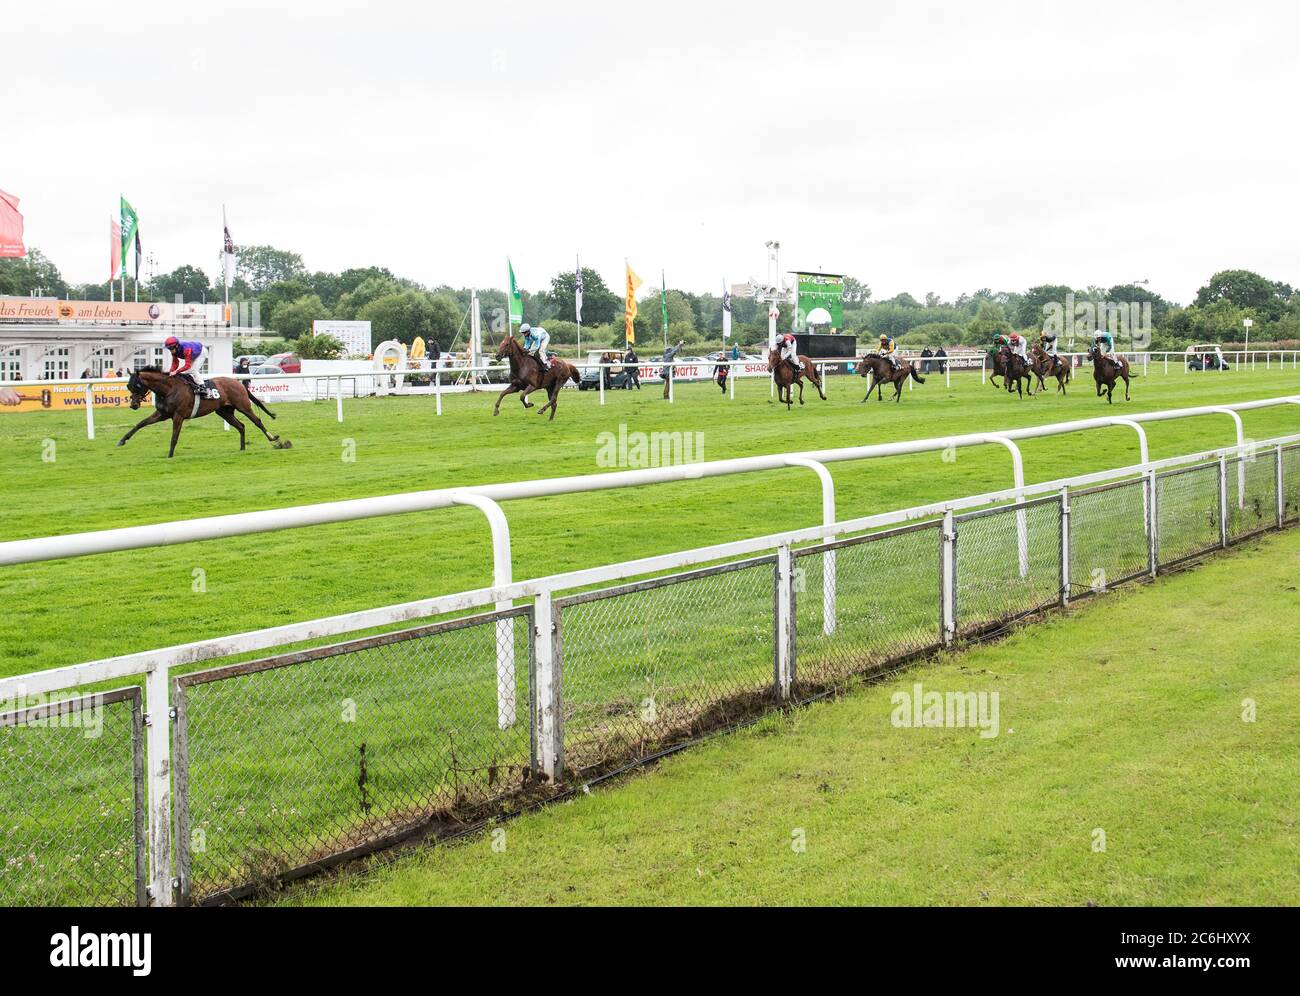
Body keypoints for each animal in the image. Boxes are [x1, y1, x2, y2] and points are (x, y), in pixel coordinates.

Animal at [118, 369, 283, 457]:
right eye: (128, 385)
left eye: (137, 385)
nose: (133, 405)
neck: (169, 389)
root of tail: (239, 383)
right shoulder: (162, 414)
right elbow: (140, 424)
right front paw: (122, 440)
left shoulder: (178, 416)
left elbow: (174, 437)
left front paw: (170, 455)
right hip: (224, 412)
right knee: (241, 426)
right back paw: (242, 448)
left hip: (243, 405)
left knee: (257, 421)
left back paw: (274, 439)